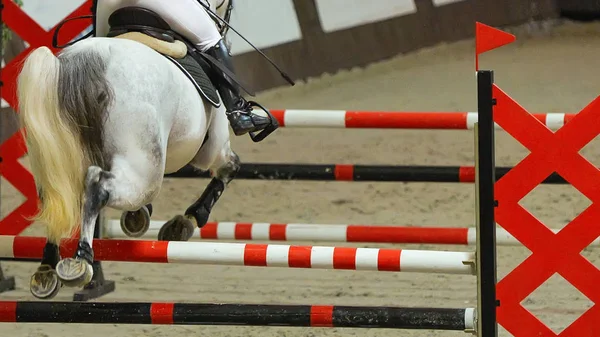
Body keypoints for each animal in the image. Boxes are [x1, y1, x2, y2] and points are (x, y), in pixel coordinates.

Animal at [14, 0, 262, 300]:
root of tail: (86, 62)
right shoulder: (213, 148)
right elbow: (230, 167)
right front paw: (186, 221)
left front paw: (140, 216)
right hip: (144, 170)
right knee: (97, 185)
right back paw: (81, 261)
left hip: (56, 161)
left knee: (55, 200)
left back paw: (47, 270)